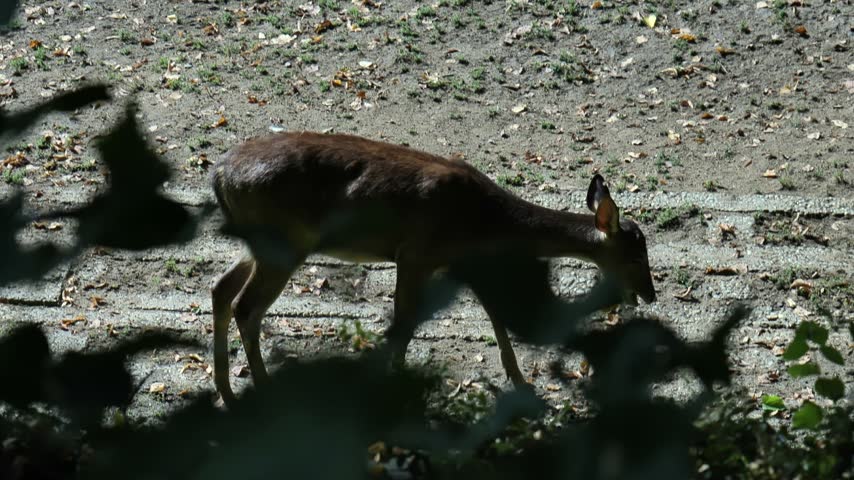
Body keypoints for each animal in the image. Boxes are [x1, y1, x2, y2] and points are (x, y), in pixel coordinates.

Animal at [210, 131, 656, 406]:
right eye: (636, 256)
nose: (651, 294)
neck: (484, 220)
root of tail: (219, 172)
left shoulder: (460, 261)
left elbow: (495, 318)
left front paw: (520, 382)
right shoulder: (416, 253)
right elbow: (405, 323)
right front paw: (395, 384)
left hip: (260, 244)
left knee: (220, 289)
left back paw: (226, 393)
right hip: (284, 243)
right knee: (246, 307)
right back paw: (263, 390)